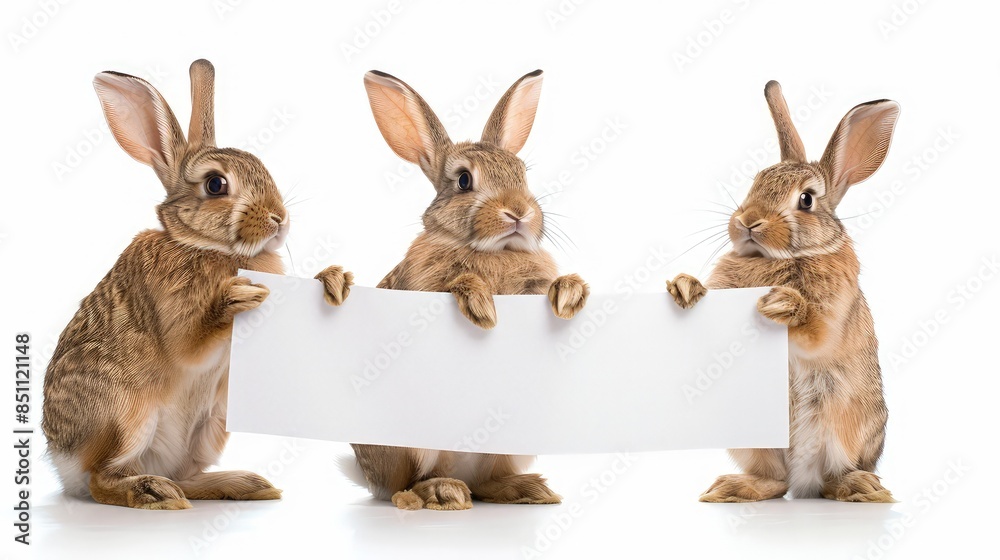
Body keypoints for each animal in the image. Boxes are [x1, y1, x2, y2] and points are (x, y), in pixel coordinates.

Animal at [41, 59, 353, 510]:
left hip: (212, 424)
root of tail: (64, 467)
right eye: (215, 184)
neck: (206, 246)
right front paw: (238, 298)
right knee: (103, 479)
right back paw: (152, 492)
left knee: (186, 477)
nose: (279, 218)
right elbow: (190, 343)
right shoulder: (175, 314)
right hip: (124, 415)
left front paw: (334, 278)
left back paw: (245, 484)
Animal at [351, 69, 590, 510]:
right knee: (405, 485)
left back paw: (529, 489)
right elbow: (456, 283)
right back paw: (440, 492)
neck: (495, 250)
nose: (519, 212)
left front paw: (570, 292)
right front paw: (480, 303)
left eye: (523, 175)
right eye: (464, 181)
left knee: (484, 483)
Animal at [667, 81, 899, 503]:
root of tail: (802, 480)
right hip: (755, 441)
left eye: (806, 199)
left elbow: (816, 332)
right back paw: (732, 488)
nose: (748, 221)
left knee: (831, 478)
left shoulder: (832, 315)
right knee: (774, 481)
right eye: (755, 181)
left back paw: (861, 487)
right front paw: (684, 285)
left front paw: (783, 303)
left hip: (843, 432)